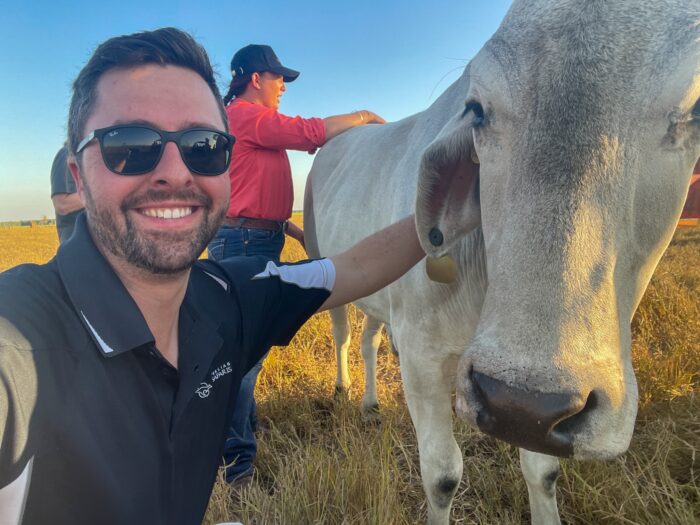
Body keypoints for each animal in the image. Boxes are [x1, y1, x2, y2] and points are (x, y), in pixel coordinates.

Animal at [304, 2, 700, 520]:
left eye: (697, 111)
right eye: (476, 109)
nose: (516, 401)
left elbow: (543, 471)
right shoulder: (421, 356)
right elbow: (442, 477)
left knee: (370, 337)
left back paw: (371, 402)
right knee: (344, 333)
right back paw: (345, 388)